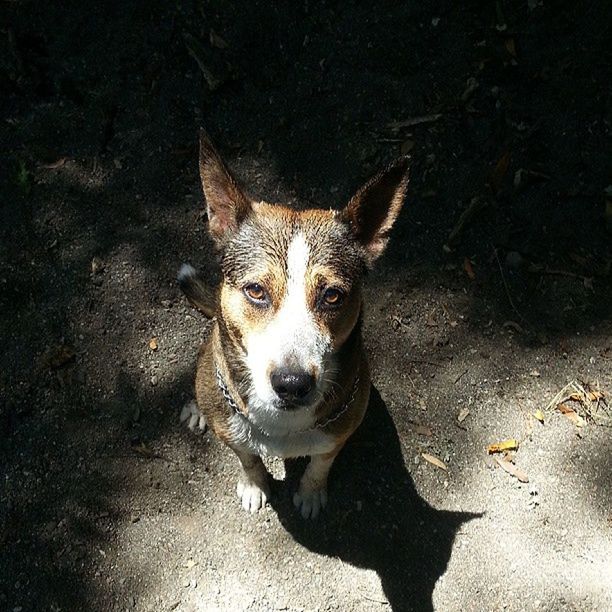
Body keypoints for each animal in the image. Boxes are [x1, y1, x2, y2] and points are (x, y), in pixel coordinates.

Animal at [179, 131, 408, 520]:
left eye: (332, 296)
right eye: (256, 290)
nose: (291, 384)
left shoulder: (336, 435)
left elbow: (320, 463)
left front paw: (311, 493)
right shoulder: (233, 433)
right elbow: (247, 457)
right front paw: (254, 484)